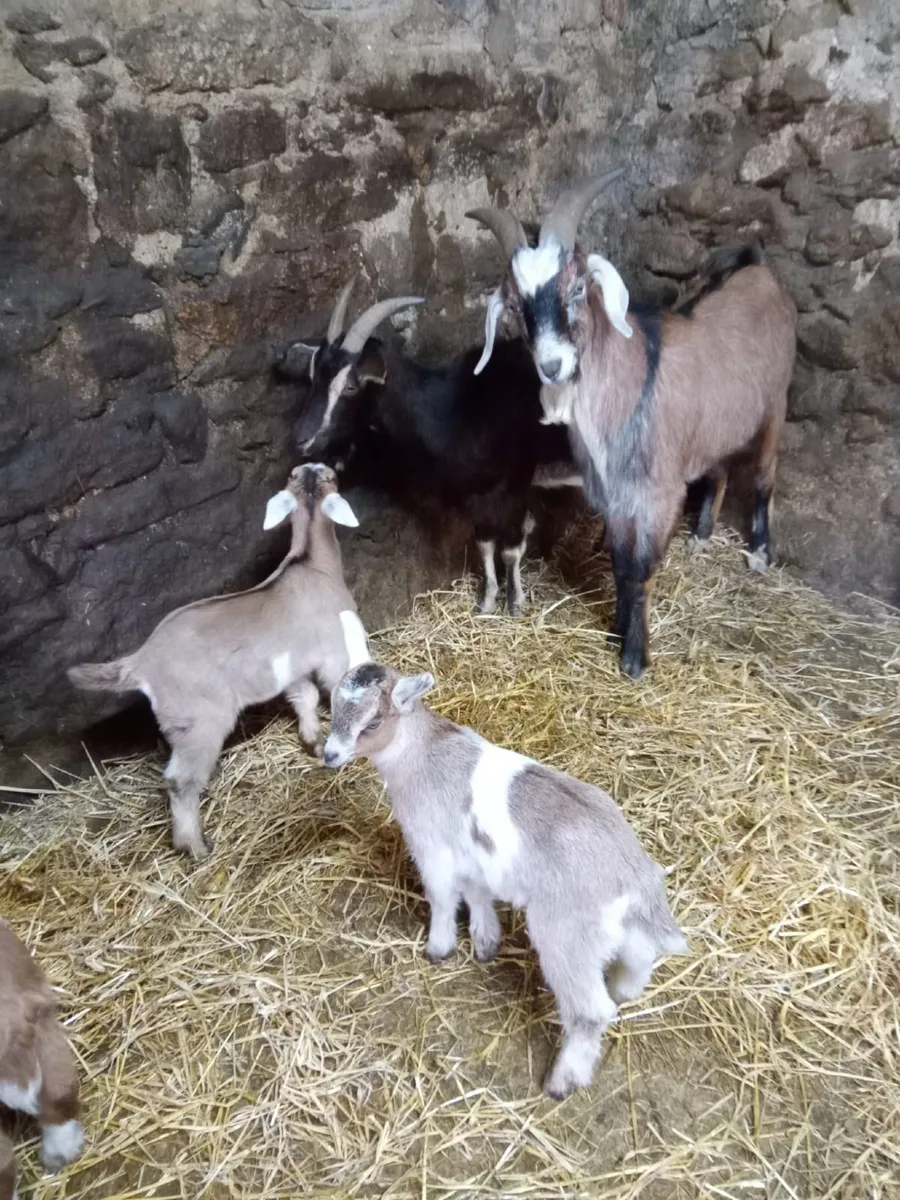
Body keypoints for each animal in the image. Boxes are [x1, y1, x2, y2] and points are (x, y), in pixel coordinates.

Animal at [67, 464, 370, 860]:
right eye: (333, 477)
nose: (313, 465)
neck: (310, 562)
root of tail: (142, 661)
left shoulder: (288, 668)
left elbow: (304, 697)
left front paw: (313, 741)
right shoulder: (336, 648)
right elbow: (339, 687)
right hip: (203, 720)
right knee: (180, 780)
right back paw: (194, 846)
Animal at [281, 280, 580, 617]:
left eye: (351, 386)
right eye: (312, 375)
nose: (302, 438)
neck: (454, 409)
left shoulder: (516, 484)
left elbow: (511, 547)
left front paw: (514, 605)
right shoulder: (477, 494)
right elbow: (485, 542)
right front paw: (487, 601)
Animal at [322, 662, 686, 1100]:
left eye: (373, 722)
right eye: (331, 707)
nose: (328, 755)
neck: (420, 755)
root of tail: (633, 875)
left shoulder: (432, 846)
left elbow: (442, 897)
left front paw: (439, 948)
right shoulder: (473, 856)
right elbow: (476, 893)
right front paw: (485, 942)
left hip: (566, 936)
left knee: (590, 1012)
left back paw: (563, 1081)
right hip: (621, 930)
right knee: (639, 959)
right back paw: (623, 990)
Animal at [468, 172, 797, 678]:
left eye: (577, 288)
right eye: (518, 305)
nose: (552, 365)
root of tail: (756, 268)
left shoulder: (656, 494)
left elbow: (640, 568)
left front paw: (635, 658)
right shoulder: (614, 494)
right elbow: (621, 564)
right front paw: (616, 631)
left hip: (775, 401)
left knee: (764, 473)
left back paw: (760, 551)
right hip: (715, 425)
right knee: (719, 470)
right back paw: (701, 535)